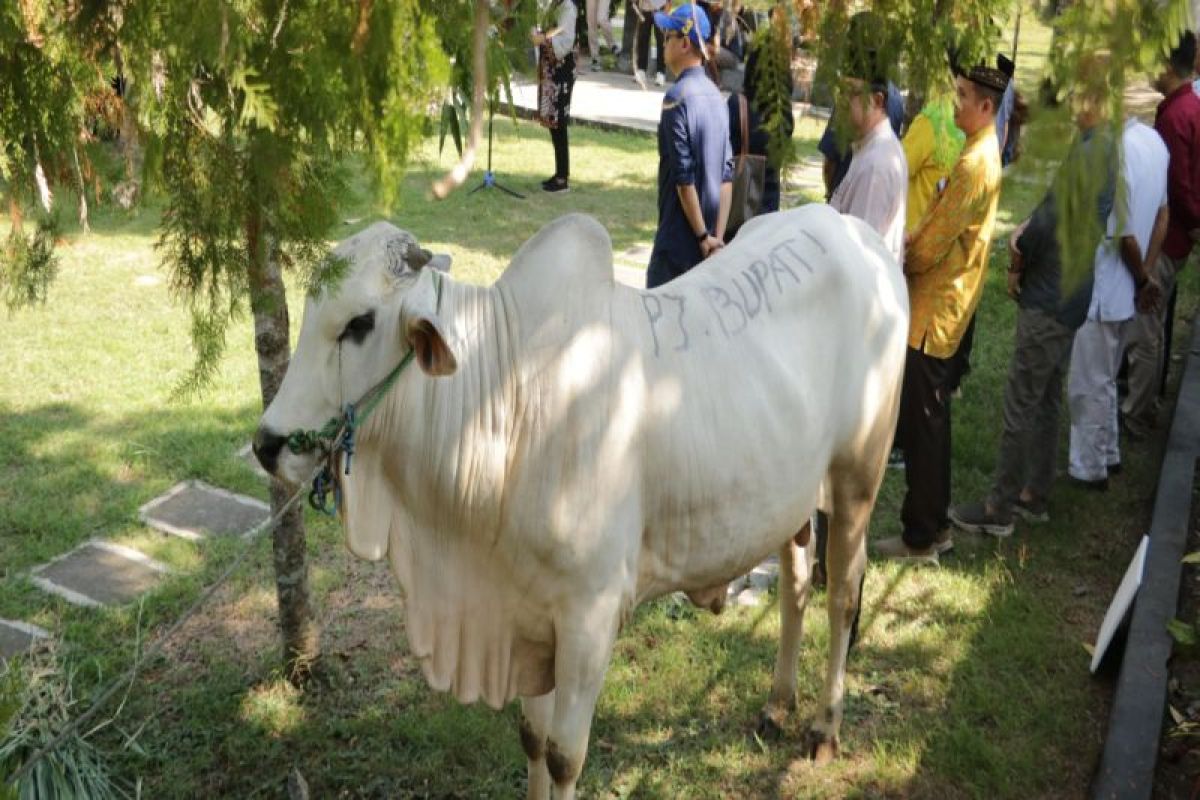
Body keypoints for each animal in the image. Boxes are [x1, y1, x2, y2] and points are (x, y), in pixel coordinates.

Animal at [255, 208, 907, 800]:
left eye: (359, 323)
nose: (267, 445)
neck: (506, 399)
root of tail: (860, 236)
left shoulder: (590, 617)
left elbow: (564, 755)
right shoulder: (527, 618)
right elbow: (531, 739)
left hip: (856, 480)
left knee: (843, 594)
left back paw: (824, 726)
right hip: (792, 502)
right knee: (796, 585)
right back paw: (777, 704)